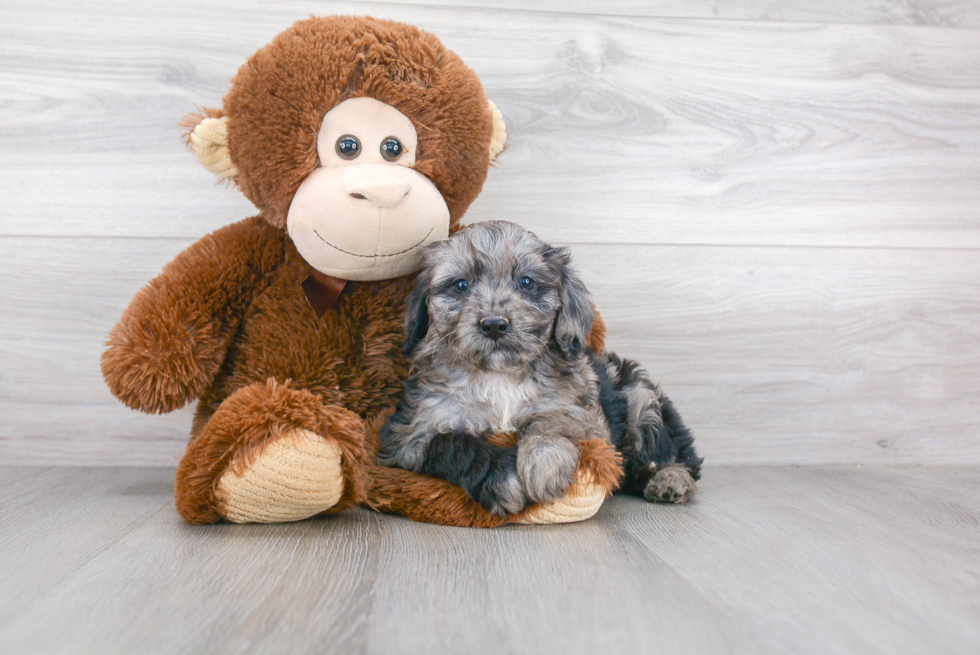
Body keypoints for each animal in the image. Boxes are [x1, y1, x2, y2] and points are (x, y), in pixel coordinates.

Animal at [378, 222, 704, 516]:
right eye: (460, 285)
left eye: (526, 282)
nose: (493, 324)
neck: (499, 374)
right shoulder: (410, 436)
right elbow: (455, 444)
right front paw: (504, 480)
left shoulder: (586, 417)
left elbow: (554, 420)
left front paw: (545, 463)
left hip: (640, 398)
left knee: (677, 455)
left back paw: (671, 480)